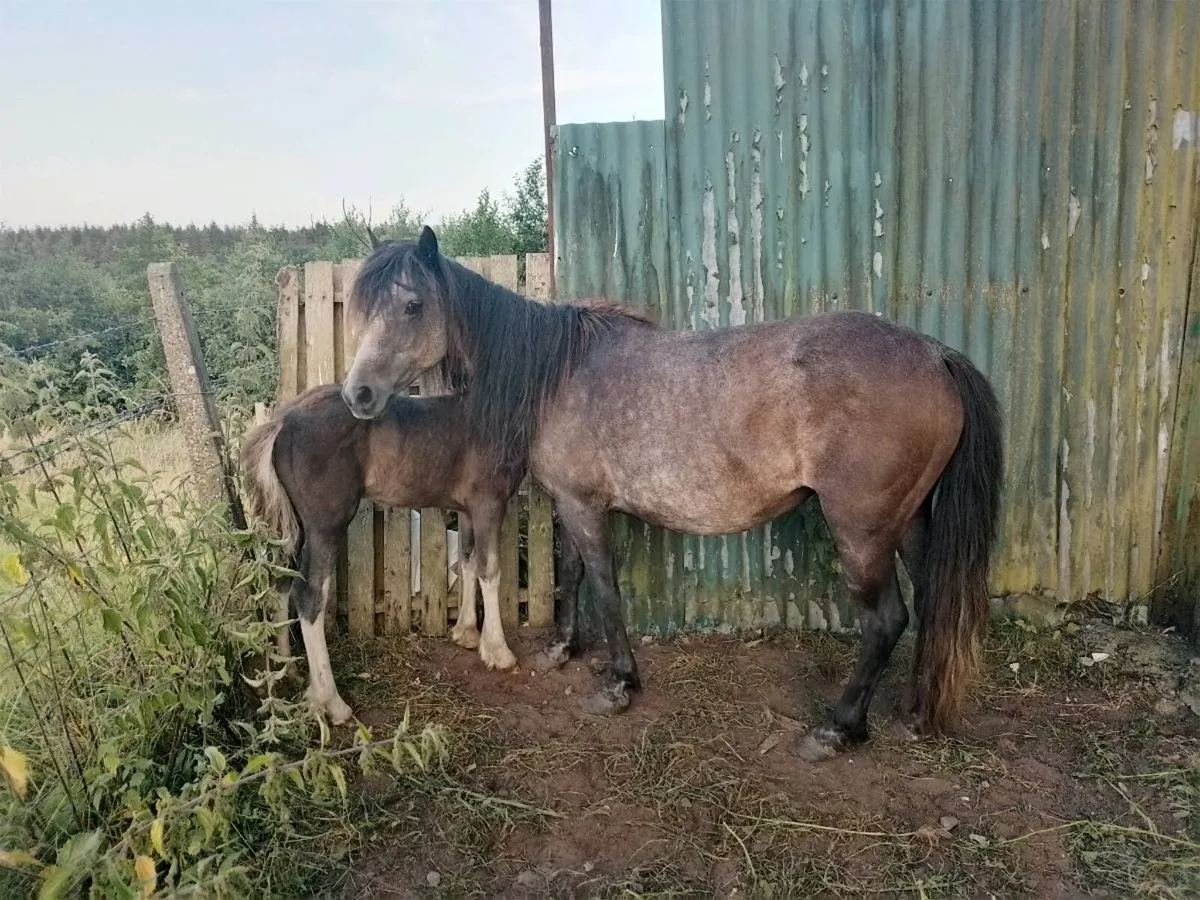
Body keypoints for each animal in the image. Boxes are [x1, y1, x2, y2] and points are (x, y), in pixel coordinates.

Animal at [241, 382, 524, 724]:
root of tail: (282, 421)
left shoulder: (468, 511)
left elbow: (467, 564)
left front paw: (466, 632)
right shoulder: (489, 505)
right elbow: (490, 571)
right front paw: (498, 651)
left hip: (295, 527)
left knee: (281, 583)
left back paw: (289, 670)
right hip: (325, 527)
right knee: (309, 596)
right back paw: (331, 702)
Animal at [339, 227, 1003, 761]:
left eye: (412, 305)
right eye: (363, 308)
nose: (358, 394)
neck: (557, 373)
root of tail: (935, 355)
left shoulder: (584, 508)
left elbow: (605, 589)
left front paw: (618, 684)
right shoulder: (576, 503)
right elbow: (572, 574)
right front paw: (561, 649)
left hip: (861, 532)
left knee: (887, 619)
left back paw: (837, 728)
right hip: (907, 521)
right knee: (933, 600)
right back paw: (915, 711)